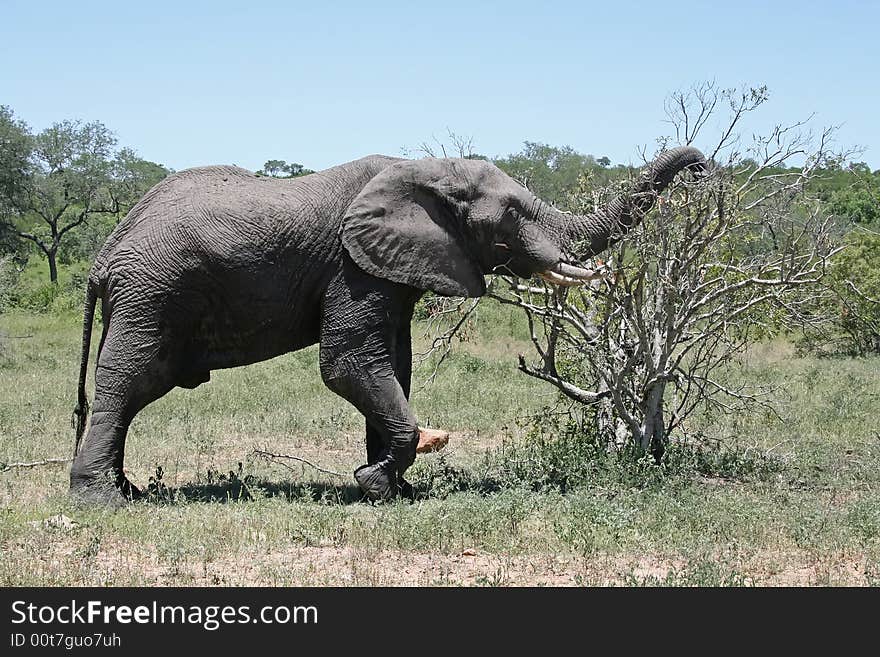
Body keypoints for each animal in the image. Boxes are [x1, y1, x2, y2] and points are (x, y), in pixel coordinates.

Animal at [69, 145, 704, 502]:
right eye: (513, 216)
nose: (702, 166)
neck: (423, 171)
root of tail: (105, 254)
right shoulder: (353, 264)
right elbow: (349, 363)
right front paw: (373, 482)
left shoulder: (390, 266)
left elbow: (394, 364)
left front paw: (395, 489)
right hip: (153, 292)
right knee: (129, 379)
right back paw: (101, 502)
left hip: (146, 296)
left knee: (133, 386)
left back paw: (125, 489)